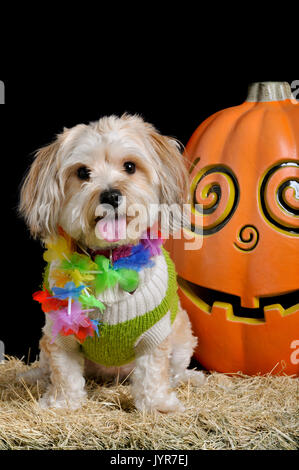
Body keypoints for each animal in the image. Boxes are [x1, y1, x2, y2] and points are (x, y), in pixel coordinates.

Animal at [18, 113, 206, 412]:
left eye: (130, 166)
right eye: (83, 172)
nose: (110, 195)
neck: (108, 262)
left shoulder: (155, 335)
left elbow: (154, 371)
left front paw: (157, 404)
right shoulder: (61, 334)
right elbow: (64, 371)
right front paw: (63, 402)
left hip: (183, 333)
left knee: (176, 368)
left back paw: (190, 378)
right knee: (47, 364)